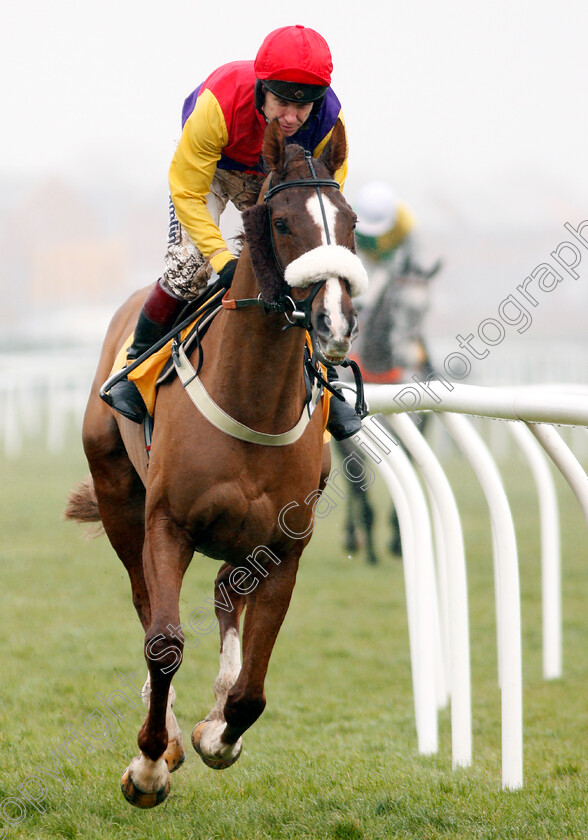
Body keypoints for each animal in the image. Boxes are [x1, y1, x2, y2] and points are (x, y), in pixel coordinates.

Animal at [65, 118, 368, 808]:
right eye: (281, 222)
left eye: (351, 221)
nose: (334, 322)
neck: (251, 396)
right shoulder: (168, 525)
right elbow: (163, 642)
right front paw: (152, 763)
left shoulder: (285, 545)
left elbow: (254, 691)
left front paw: (219, 734)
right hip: (120, 499)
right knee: (145, 600)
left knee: (227, 591)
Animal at [334, 258, 438, 564]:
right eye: (397, 303)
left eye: (426, 307)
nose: (407, 355)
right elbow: (358, 483)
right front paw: (370, 548)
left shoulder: (408, 430)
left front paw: (397, 542)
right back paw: (352, 536)